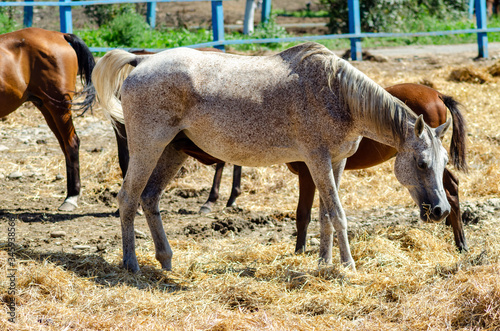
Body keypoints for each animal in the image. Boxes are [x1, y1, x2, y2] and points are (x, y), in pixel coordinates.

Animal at [0, 27, 95, 210]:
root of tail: (61, 35)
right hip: (46, 108)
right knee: (65, 145)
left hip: (59, 107)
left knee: (72, 143)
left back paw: (72, 197)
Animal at [92, 42, 452, 274]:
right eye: (422, 163)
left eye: (445, 163)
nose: (441, 211)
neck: (338, 95)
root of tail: (140, 63)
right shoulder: (318, 160)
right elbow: (337, 214)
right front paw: (348, 267)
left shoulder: (336, 163)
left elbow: (325, 216)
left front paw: (324, 263)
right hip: (147, 147)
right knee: (128, 199)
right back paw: (131, 264)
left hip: (172, 151)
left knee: (150, 199)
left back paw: (166, 260)